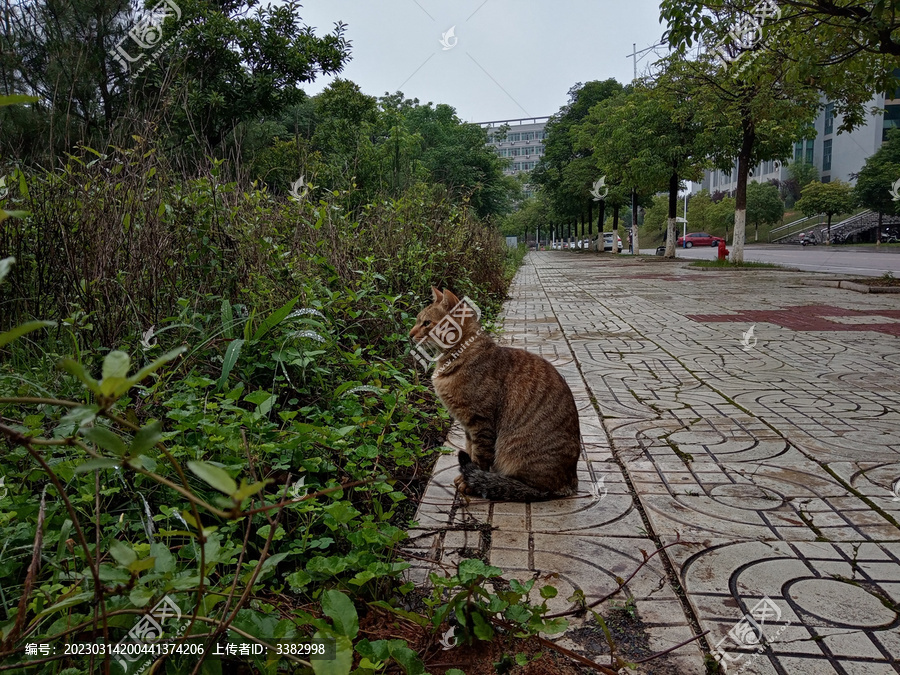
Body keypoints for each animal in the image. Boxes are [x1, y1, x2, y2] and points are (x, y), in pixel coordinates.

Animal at [410, 286, 580, 502]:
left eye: (426, 323)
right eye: (418, 320)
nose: (409, 334)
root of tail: (571, 483)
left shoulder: (480, 422)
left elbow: (479, 457)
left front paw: (470, 483)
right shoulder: (468, 426)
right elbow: (470, 450)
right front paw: (466, 477)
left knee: (534, 489)